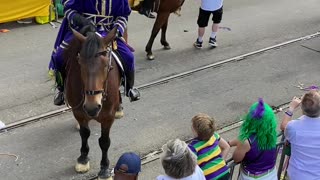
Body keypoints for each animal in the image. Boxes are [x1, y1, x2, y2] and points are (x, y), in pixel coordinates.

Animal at [64, 27, 121, 179]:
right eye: (80, 63)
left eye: (107, 65)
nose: (92, 107)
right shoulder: (79, 112)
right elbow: (85, 133)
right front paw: (83, 159)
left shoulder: (108, 117)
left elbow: (104, 141)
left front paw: (105, 168)